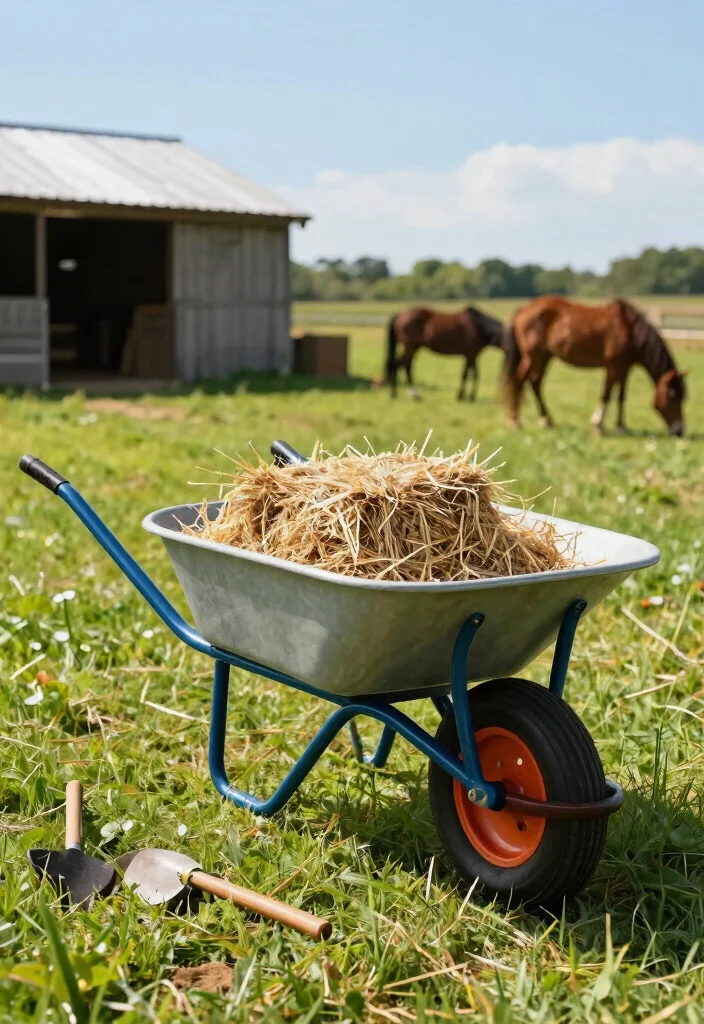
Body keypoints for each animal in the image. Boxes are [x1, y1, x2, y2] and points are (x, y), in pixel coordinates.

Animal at [502, 296, 687, 436]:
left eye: (683, 397)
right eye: (672, 396)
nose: (679, 430)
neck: (630, 330)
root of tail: (524, 309)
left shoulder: (625, 368)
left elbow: (621, 397)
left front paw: (621, 426)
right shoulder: (612, 367)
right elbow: (606, 394)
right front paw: (598, 425)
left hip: (545, 358)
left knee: (535, 383)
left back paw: (547, 420)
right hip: (533, 357)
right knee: (520, 381)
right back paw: (516, 421)